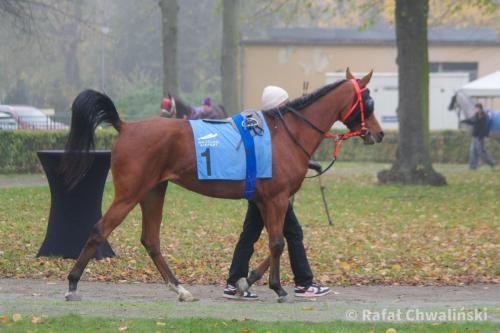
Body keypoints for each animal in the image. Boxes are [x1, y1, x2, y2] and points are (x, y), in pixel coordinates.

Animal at [61, 68, 382, 302]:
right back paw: (73, 284)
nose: (378, 134)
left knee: (151, 240)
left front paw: (246, 281)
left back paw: (180, 288)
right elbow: (277, 243)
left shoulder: (264, 200)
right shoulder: (276, 199)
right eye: (368, 102)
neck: (286, 133)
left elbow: (275, 242)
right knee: (100, 230)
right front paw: (277, 287)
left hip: (153, 192)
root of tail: (126, 126)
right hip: (129, 193)